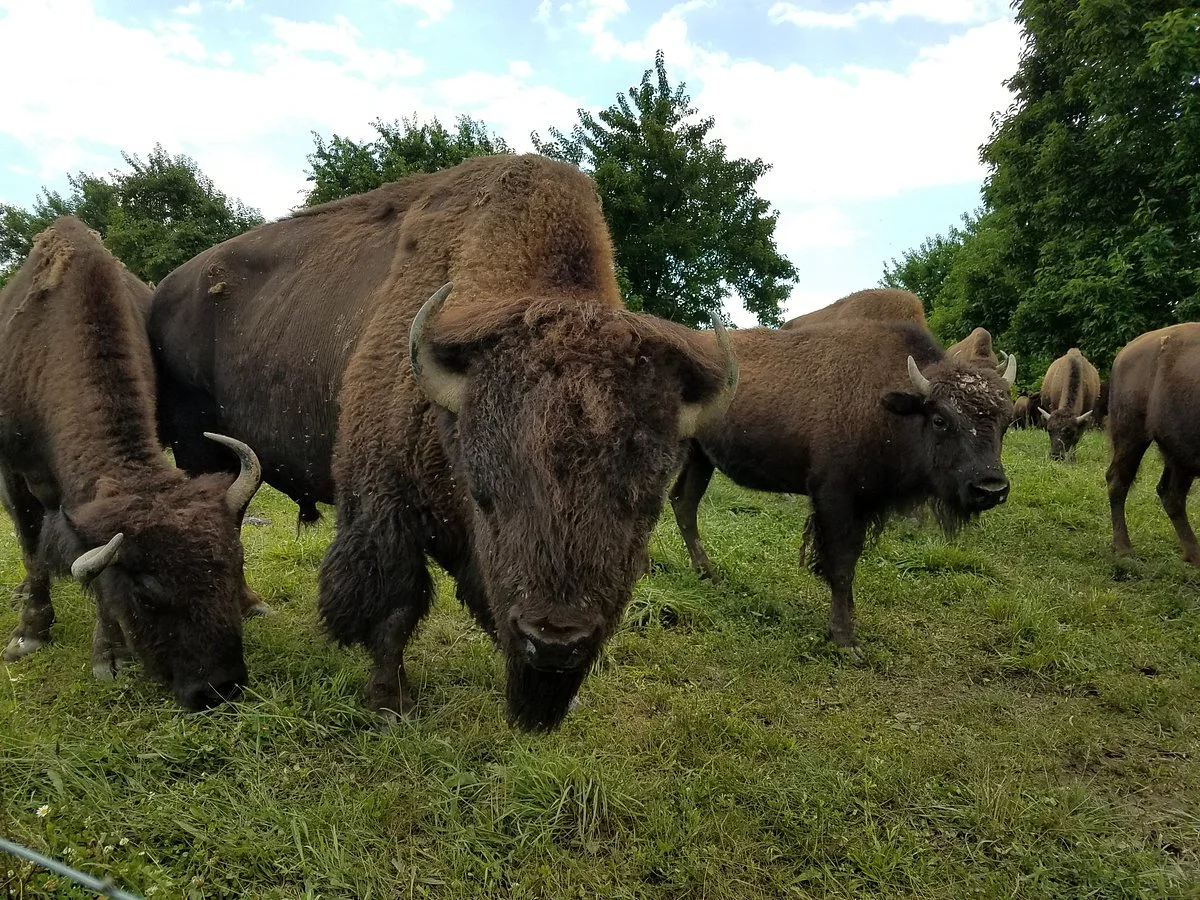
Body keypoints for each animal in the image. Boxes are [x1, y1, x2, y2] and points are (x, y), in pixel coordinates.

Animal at [0, 217, 264, 709]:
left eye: (235, 563)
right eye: (146, 593)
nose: (220, 687)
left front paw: (109, 653)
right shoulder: (13, 472)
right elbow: (31, 549)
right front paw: (30, 634)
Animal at [149, 154, 738, 730]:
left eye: (647, 508)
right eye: (485, 496)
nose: (554, 642)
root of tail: (166, 291)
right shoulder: (384, 508)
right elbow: (396, 608)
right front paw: (392, 704)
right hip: (199, 449)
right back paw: (250, 606)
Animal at [669, 319, 1016, 647]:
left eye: (1006, 421)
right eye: (941, 420)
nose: (991, 489)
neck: (887, 407)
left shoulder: (862, 504)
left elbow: (850, 561)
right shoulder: (834, 498)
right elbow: (841, 565)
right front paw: (844, 639)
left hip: (701, 457)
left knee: (684, 502)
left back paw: (708, 574)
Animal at [1107, 324, 1200, 566]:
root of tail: (1125, 352)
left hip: (1180, 453)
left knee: (1171, 494)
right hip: (1132, 434)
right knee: (1118, 480)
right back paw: (1124, 548)